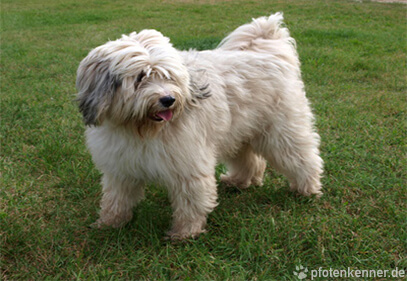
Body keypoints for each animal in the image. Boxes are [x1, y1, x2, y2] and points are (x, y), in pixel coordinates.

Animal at [76, 12, 324, 238]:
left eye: (168, 76)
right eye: (140, 77)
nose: (168, 99)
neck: (140, 129)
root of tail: (268, 51)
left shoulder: (187, 164)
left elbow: (190, 201)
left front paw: (184, 233)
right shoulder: (121, 166)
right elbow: (116, 198)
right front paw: (109, 223)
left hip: (281, 132)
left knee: (303, 158)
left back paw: (307, 189)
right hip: (237, 132)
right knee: (250, 160)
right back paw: (238, 181)